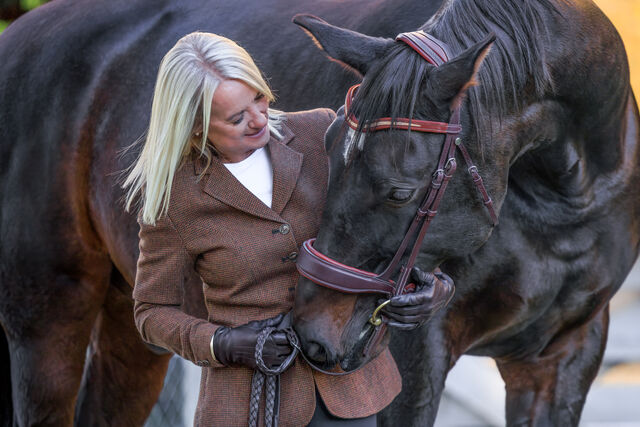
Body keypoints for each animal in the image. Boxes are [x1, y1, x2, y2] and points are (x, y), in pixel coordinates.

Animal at [290, 0, 640, 425]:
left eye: (399, 192)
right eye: (327, 144)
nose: (311, 333)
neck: (562, 202)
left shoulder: (565, 353)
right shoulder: (416, 352)